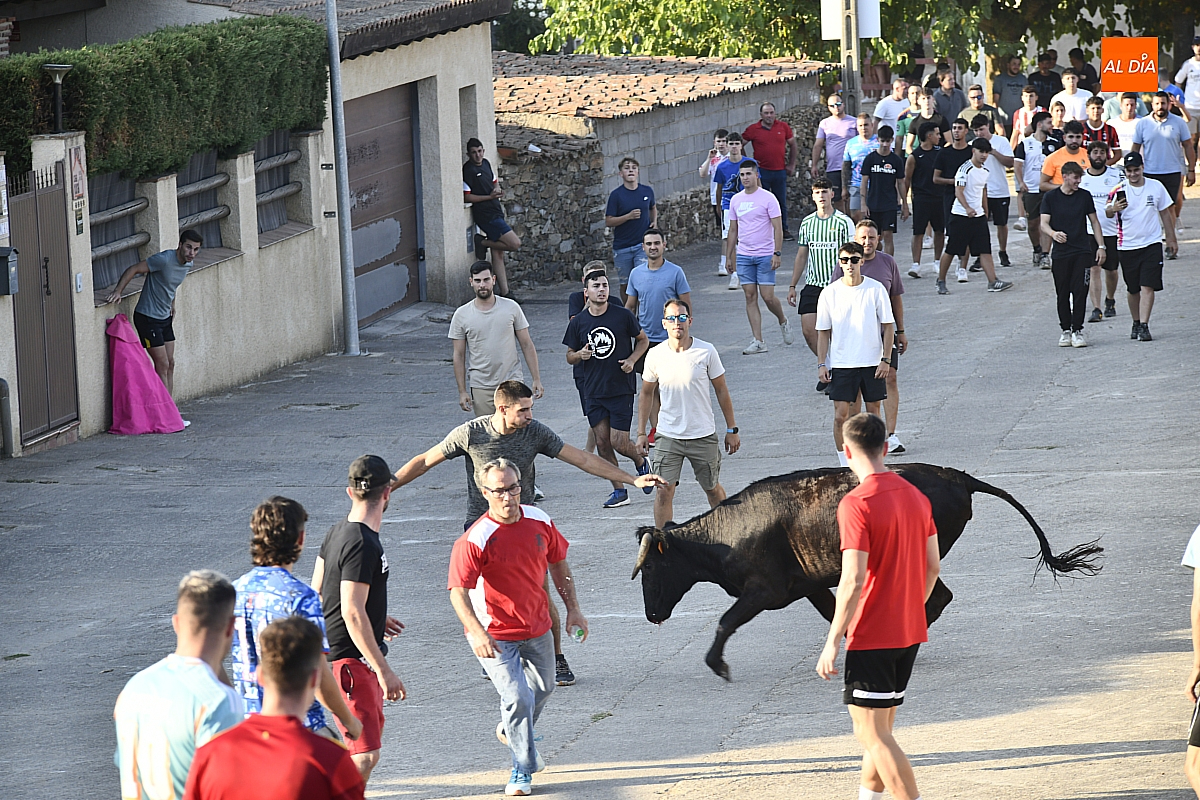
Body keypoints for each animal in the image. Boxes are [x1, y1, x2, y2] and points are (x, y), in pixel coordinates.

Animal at [630, 463, 1102, 681]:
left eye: (649, 566)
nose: (652, 614)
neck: (724, 535)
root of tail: (958, 477)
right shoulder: (809, 585)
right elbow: (832, 614)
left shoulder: (763, 590)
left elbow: (726, 621)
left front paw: (717, 665)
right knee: (937, 598)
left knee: (936, 598)